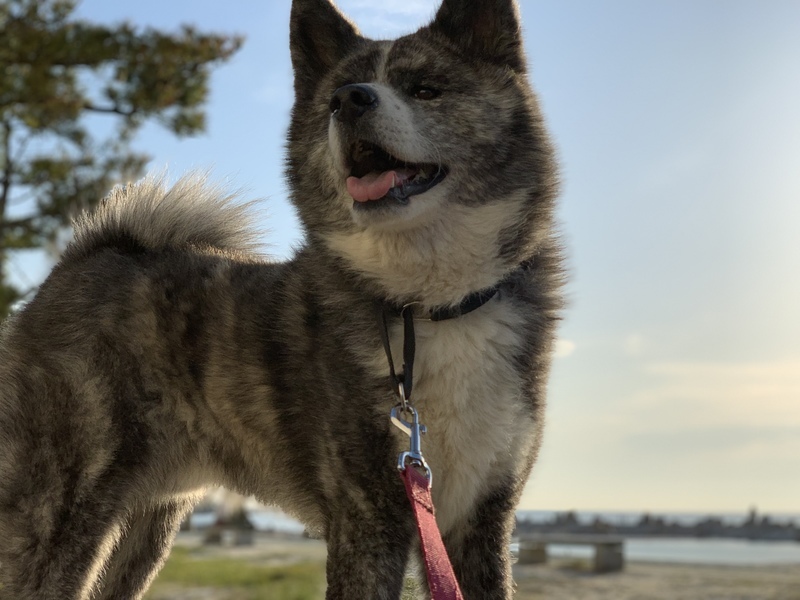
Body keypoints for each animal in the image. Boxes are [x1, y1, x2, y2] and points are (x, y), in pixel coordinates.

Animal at [0, 0, 563, 598]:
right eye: (336, 94)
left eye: (425, 89)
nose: (350, 100)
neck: (425, 302)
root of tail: (84, 256)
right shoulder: (368, 520)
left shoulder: (481, 518)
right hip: (59, 510)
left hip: (146, 526)